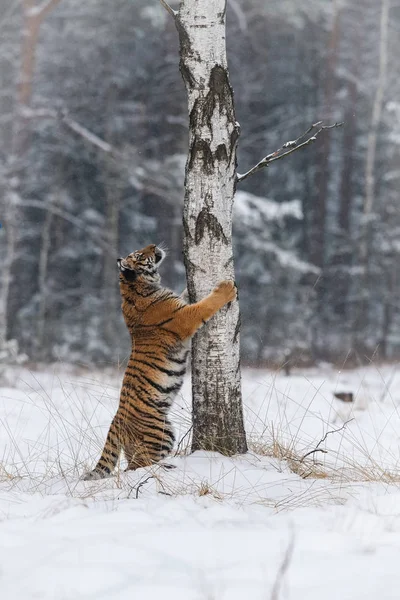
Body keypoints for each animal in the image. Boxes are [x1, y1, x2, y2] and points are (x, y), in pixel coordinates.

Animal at [82, 241, 236, 480]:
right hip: (161, 432)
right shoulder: (185, 317)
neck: (135, 287)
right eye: (139, 254)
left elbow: (185, 293)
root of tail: (115, 421)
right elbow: (205, 305)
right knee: (137, 466)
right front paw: (226, 288)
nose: (153, 245)